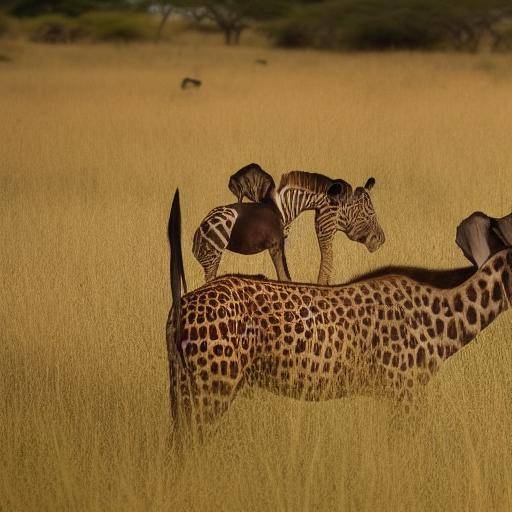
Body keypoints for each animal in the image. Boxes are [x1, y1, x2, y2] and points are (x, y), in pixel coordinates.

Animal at [192, 163, 384, 284]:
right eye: (367, 212)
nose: (381, 240)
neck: (283, 209)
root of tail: (199, 229)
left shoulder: (281, 243)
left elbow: (287, 276)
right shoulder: (275, 244)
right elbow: (284, 277)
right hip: (215, 252)